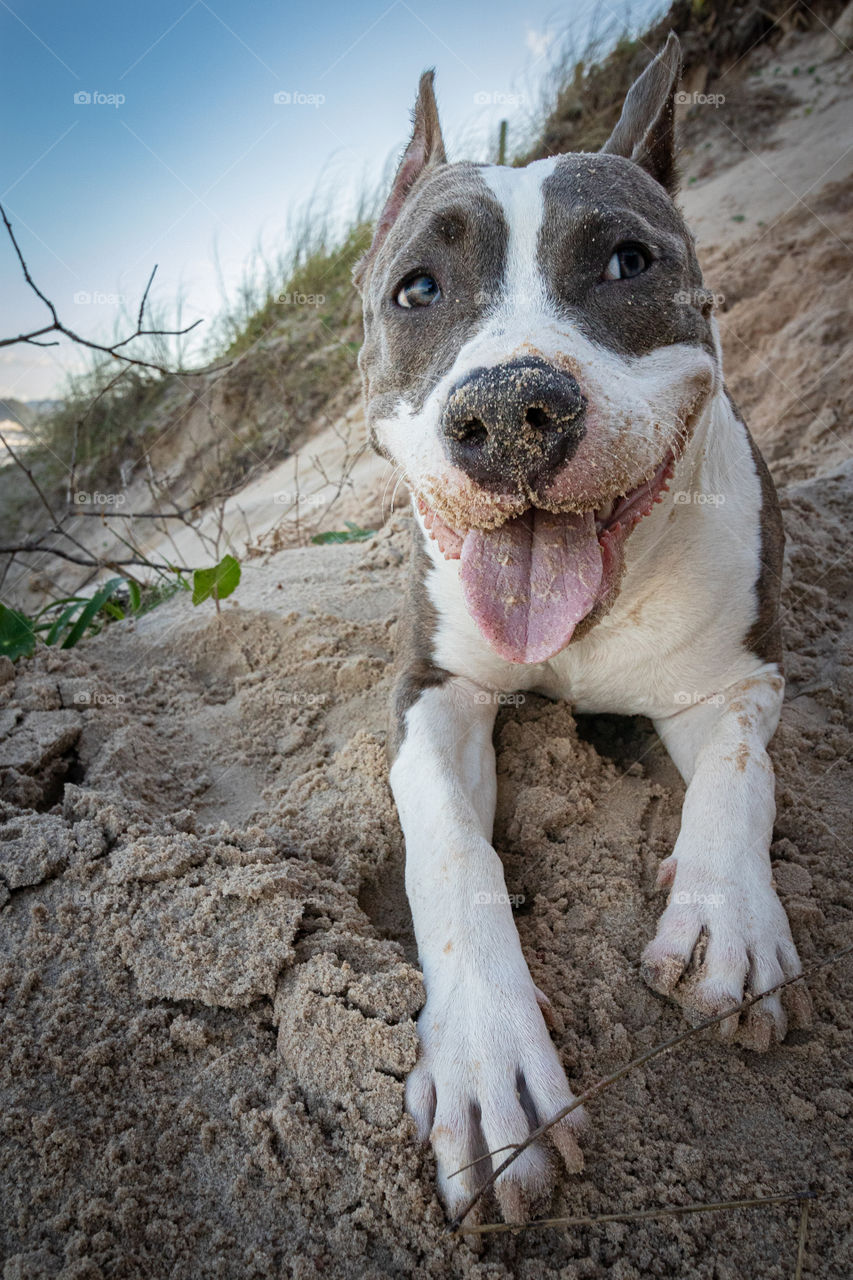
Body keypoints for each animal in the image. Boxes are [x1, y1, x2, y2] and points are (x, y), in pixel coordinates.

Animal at [356, 35, 809, 1223]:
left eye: (624, 262)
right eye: (418, 289)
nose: (510, 411)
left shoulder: (738, 678)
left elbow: (741, 774)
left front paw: (728, 919)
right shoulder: (430, 694)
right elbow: (451, 846)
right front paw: (483, 1060)